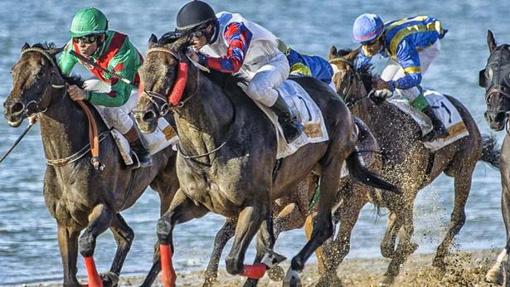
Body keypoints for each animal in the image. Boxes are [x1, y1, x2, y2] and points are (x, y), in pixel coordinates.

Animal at [3, 43, 179, 287]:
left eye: (39, 73)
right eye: (13, 71)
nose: (13, 107)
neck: (67, 161)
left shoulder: (103, 208)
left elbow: (87, 243)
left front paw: (100, 279)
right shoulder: (65, 223)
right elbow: (69, 276)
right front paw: (105, 278)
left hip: (170, 189)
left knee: (162, 245)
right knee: (127, 235)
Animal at [132, 35, 398, 287]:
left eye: (170, 70)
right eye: (142, 71)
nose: (142, 115)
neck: (211, 144)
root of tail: (342, 105)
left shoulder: (256, 204)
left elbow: (236, 260)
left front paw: (273, 264)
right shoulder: (197, 201)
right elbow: (164, 226)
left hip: (334, 171)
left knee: (324, 227)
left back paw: (293, 271)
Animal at [324, 46, 500, 286]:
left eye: (347, 77)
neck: (381, 133)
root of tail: (463, 111)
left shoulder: (404, 189)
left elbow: (399, 234)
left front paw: (398, 259)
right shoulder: (377, 192)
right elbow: (392, 234)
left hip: (463, 169)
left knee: (458, 217)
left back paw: (439, 260)